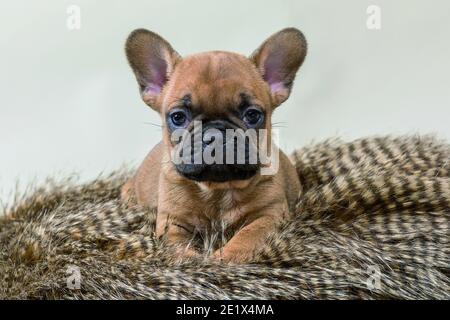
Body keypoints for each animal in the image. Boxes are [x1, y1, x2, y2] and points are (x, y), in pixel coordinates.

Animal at [121, 27, 308, 262]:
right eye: (178, 117)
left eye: (252, 115)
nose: (216, 134)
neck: (218, 189)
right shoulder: (171, 222)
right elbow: (177, 249)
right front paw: (194, 262)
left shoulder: (269, 214)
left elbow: (247, 236)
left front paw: (223, 259)